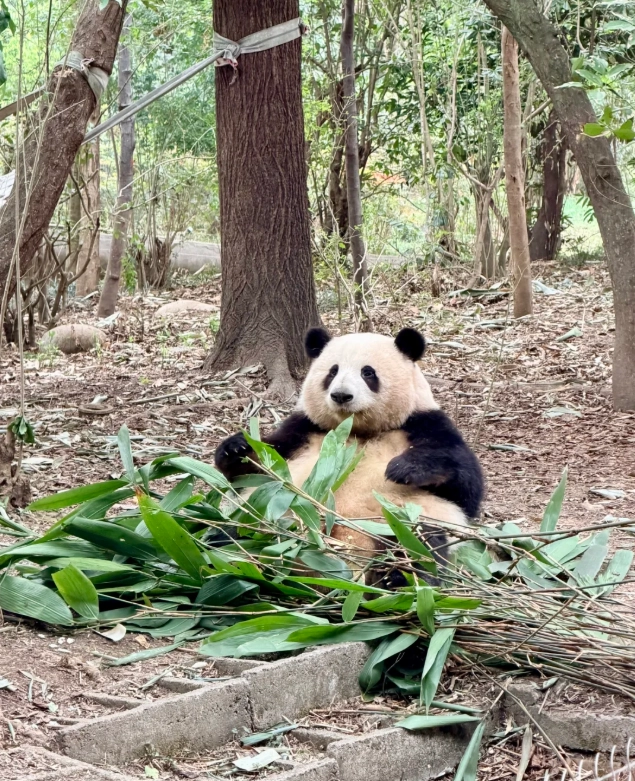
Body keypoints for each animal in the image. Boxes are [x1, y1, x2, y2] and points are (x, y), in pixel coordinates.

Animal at [214, 327, 484, 584]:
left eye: (368, 373)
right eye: (333, 372)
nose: (341, 395)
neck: (357, 428)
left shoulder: (424, 424)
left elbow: (466, 485)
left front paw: (404, 468)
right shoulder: (304, 430)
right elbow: (258, 464)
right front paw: (236, 447)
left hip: (400, 520)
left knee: (421, 546)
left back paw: (397, 580)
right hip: (266, 513)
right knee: (229, 532)